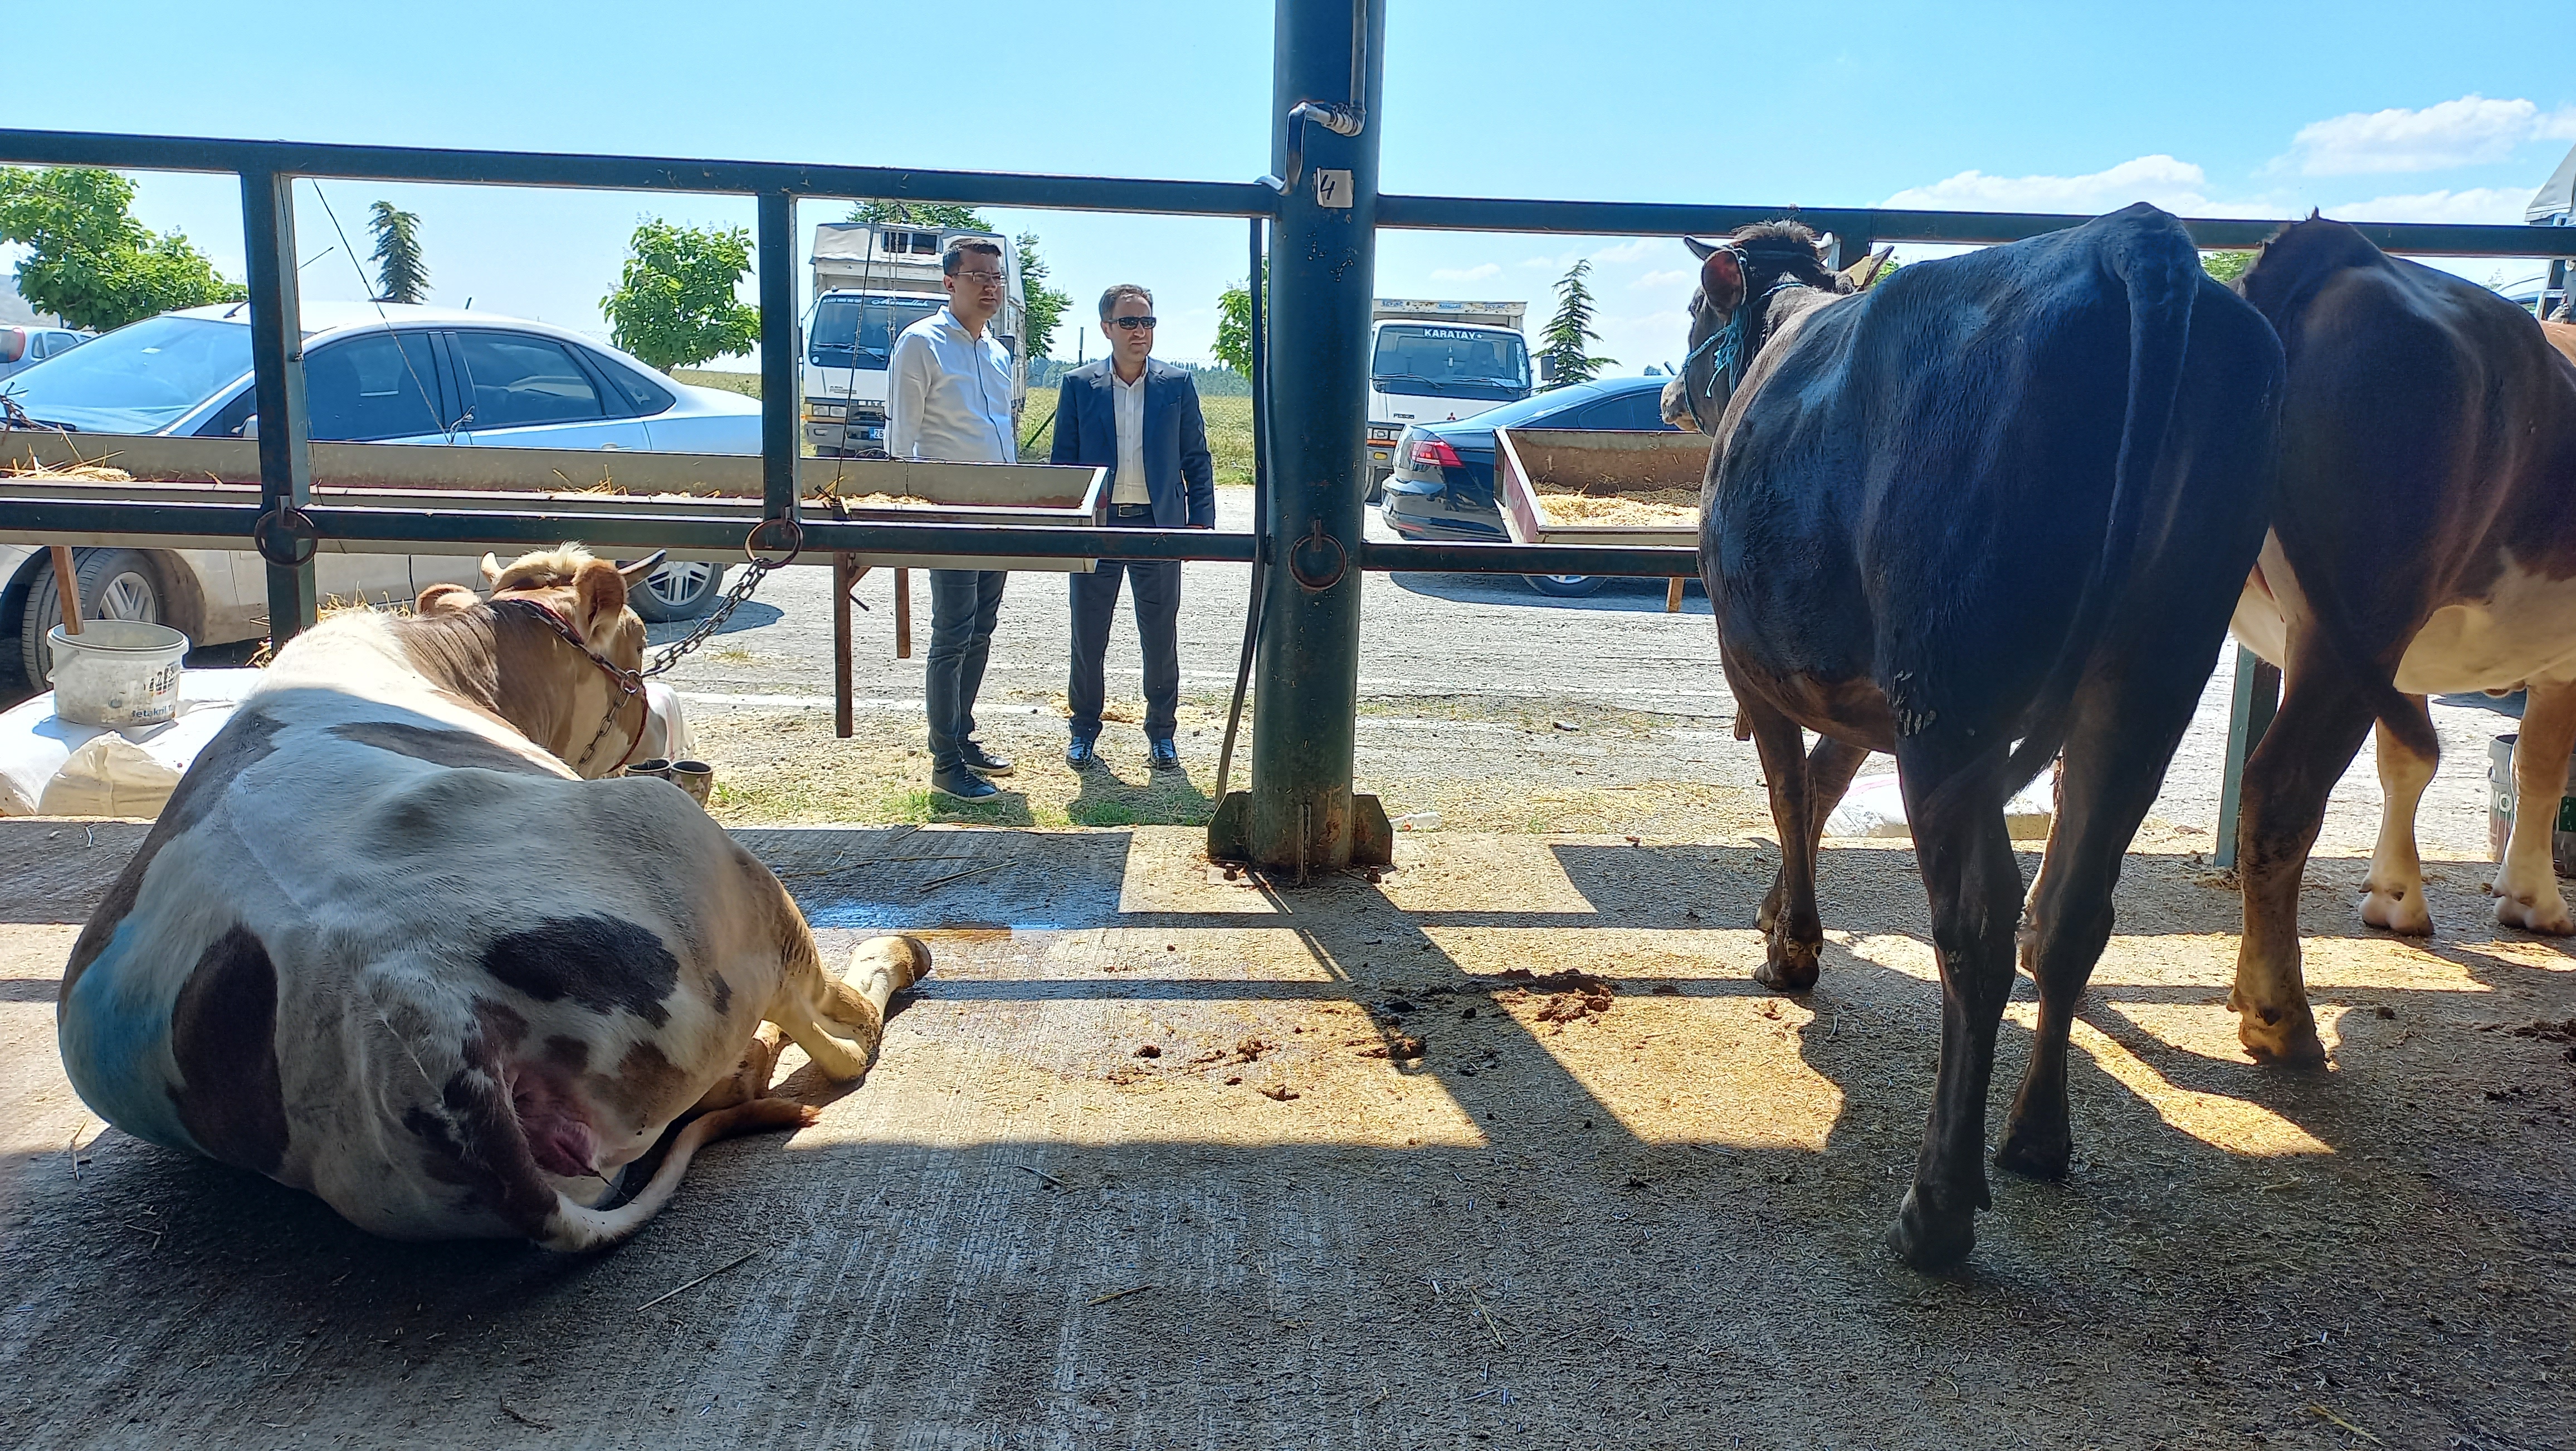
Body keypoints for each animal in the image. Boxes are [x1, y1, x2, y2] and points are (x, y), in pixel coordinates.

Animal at [52, 546, 927, 1247]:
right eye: (640, 644)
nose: (659, 731)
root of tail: (431, 1041)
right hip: (704, 862)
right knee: (839, 1035)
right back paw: (886, 963)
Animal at [1658, 207, 2287, 1273]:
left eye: (1698, 309)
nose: (1666, 392)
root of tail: (2134, 240)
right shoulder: (1861, 690)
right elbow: (1823, 788)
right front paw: (1778, 914)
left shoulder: (1758, 663)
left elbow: (1790, 792)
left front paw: (1792, 948)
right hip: (2150, 676)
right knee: (2070, 911)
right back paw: (2035, 1137)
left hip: (1950, 696)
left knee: (1976, 922)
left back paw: (1935, 1208)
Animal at [2226, 215, 2576, 1062]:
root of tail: (2335, 249)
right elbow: (2541, 766)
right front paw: (2533, 900)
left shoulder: (2405, 665)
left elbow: (2407, 760)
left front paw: (2394, 895)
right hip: (2363, 610)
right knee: (2282, 790)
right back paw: (2280, 1014)